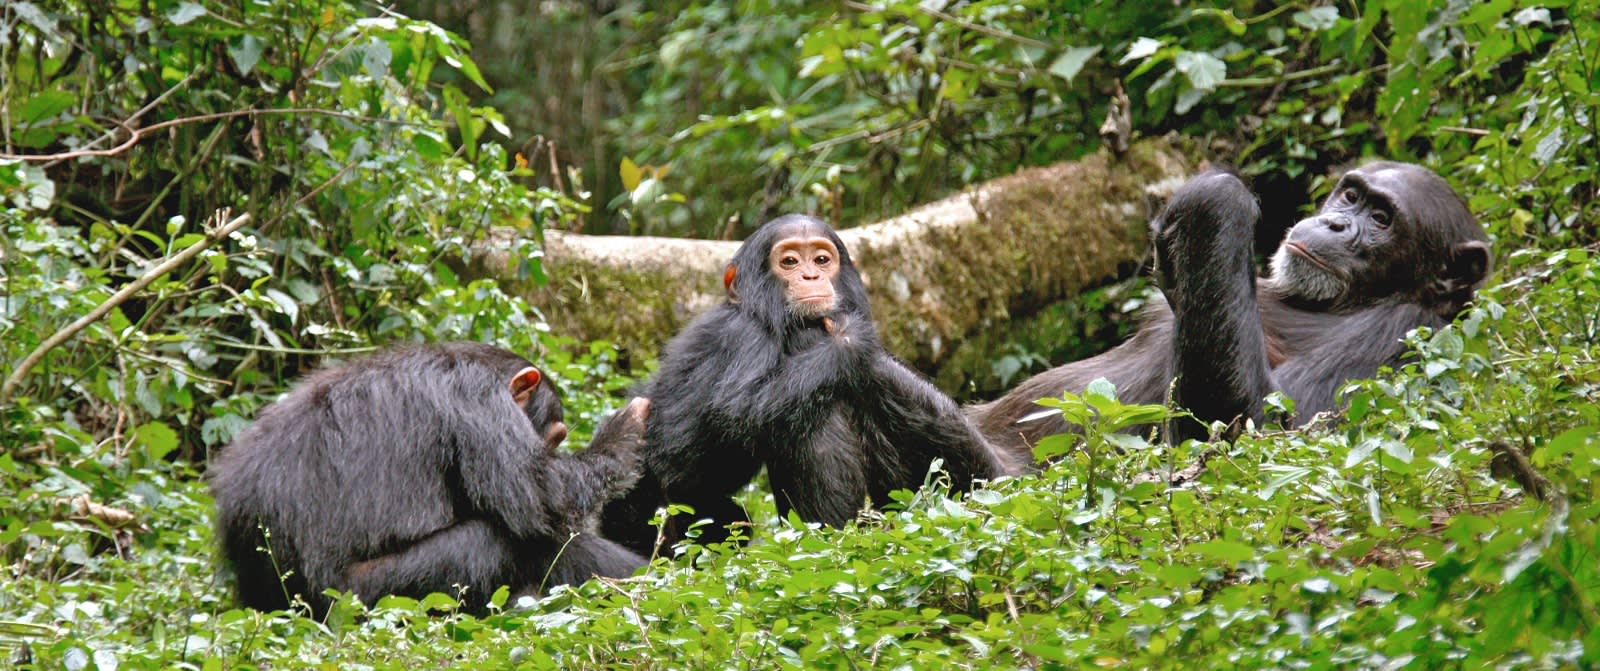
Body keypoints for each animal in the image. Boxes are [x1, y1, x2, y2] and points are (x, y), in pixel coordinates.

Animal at [211, 344, 649, 618]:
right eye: (556, 438)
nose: (555, 443)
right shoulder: (478, 399)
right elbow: (538, 493)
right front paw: (621, 433)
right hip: (368, 597)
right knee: (490, 542)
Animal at [601, 212, 1011, 554]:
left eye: (821, 260)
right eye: (789, 262)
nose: (811, 276)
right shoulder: (746, 336)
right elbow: (740, 407)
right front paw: (849, 339)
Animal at [966, 160, 1491, 448]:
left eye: (1381, 218)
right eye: (1351, 196)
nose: (1337, 224)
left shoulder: (1404, 334)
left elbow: (1262, 424)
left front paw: (1216, 196)